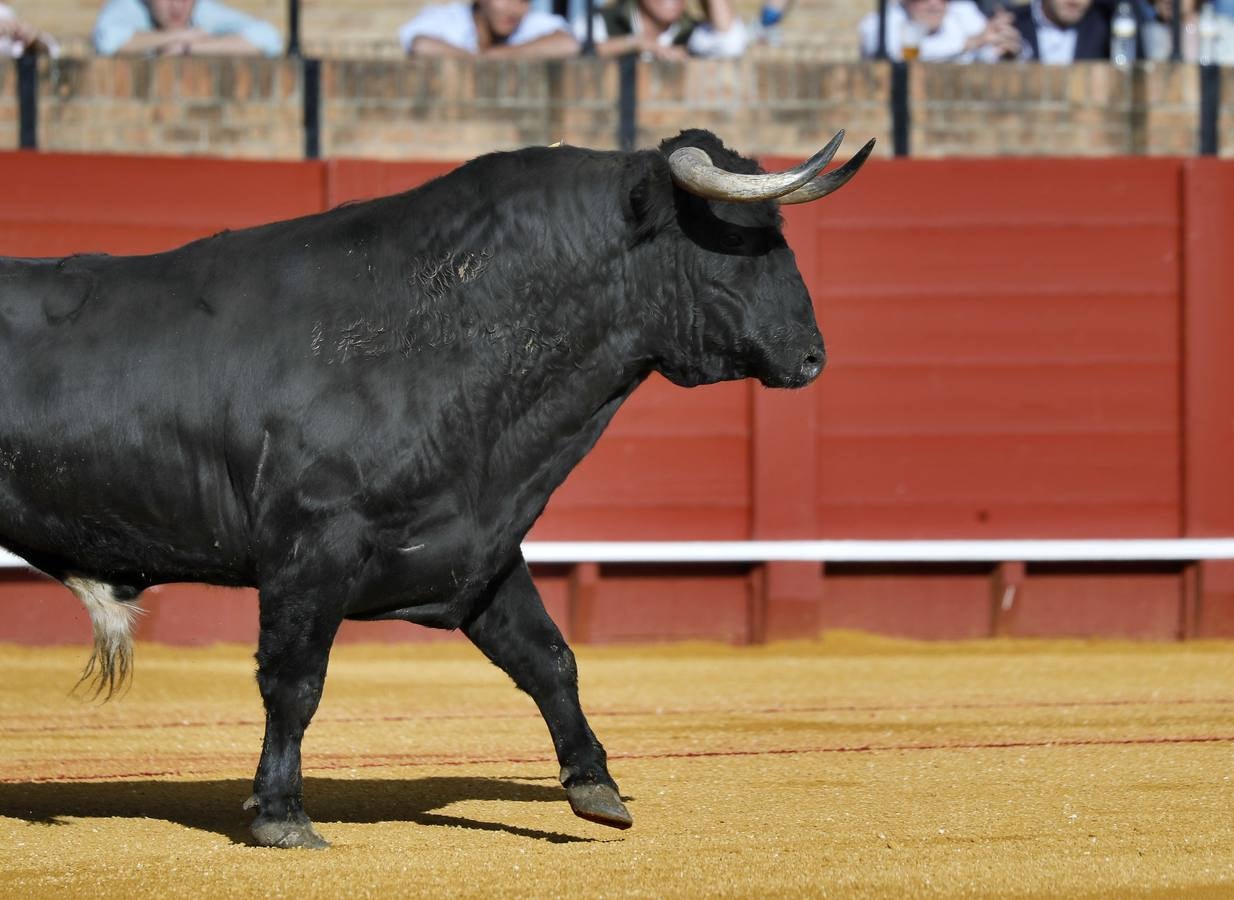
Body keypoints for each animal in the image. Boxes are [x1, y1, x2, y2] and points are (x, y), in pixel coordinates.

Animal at [0, 129, 868, 844]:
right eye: (738, 239)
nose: (813, 355)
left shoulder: (479, 544)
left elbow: (549, 657)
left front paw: (596, 787)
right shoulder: (312, 546)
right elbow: (294, 680)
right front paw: (282, 817)